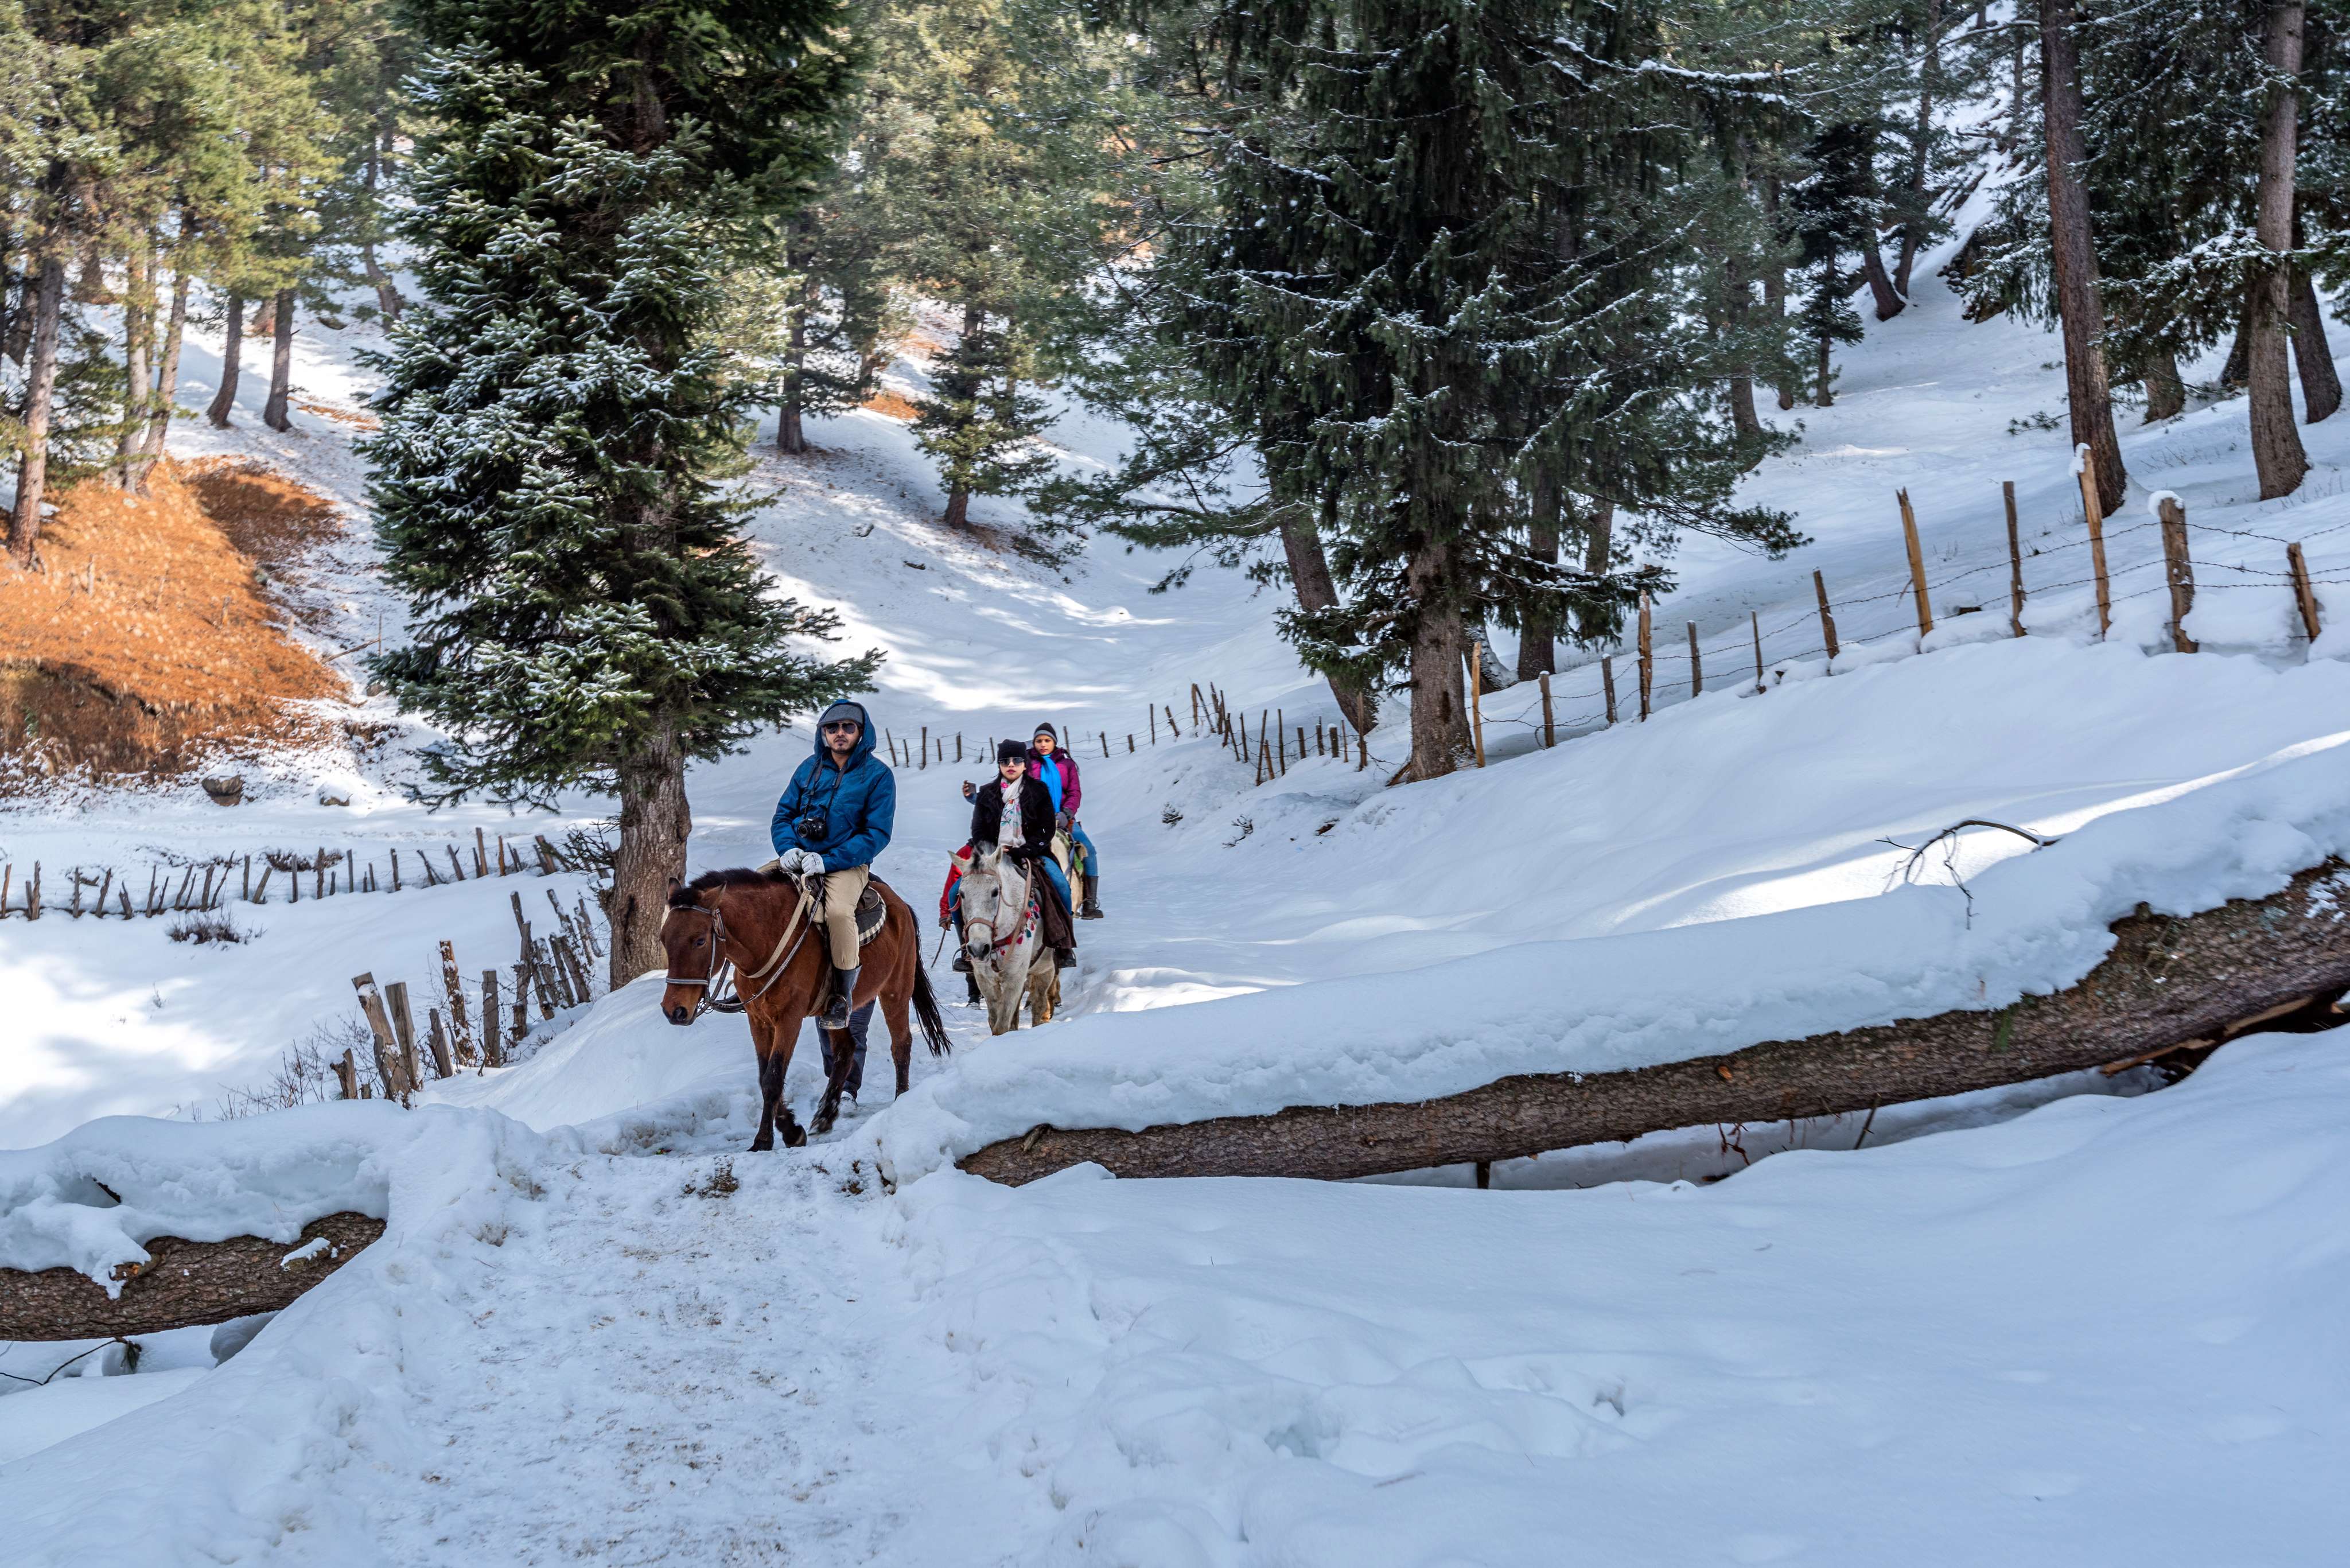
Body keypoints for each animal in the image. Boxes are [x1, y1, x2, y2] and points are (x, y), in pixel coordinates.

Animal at [658, 866, 950, 1151]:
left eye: (699, 941)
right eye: (663, 939)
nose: (675, 1010)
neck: (768, 940)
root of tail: (900, 905)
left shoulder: (789, 1018)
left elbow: (773, 1078)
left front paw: (766, 1139)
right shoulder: (758, 1019)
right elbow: (764, 1075)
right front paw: (790, 1130)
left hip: (895, 991)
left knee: (901, 1045)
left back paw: (901, 1101)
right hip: (834, 1014)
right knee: (846, 1051)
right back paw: (825, 1115)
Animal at [956, 846, 1061, 1034]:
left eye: (995, 892)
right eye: (961, 894)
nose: (978, 948)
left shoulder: (1015, 977)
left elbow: (1002, 1024)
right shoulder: (985, 979)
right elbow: (995, 1021)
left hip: (1045, 969)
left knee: (1040, 1006)